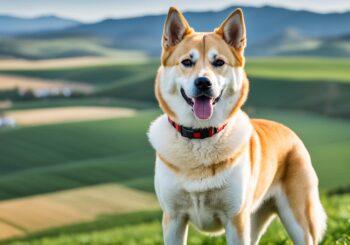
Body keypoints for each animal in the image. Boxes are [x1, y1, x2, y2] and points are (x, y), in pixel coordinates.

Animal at [147, 6, 326, 244]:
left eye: (219, 62)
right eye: (186, 62)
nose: (203, 82)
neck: (201, 136)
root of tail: (288, 131)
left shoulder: (235, 219)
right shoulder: (173, 219)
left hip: (297, 221)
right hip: (255, 221)